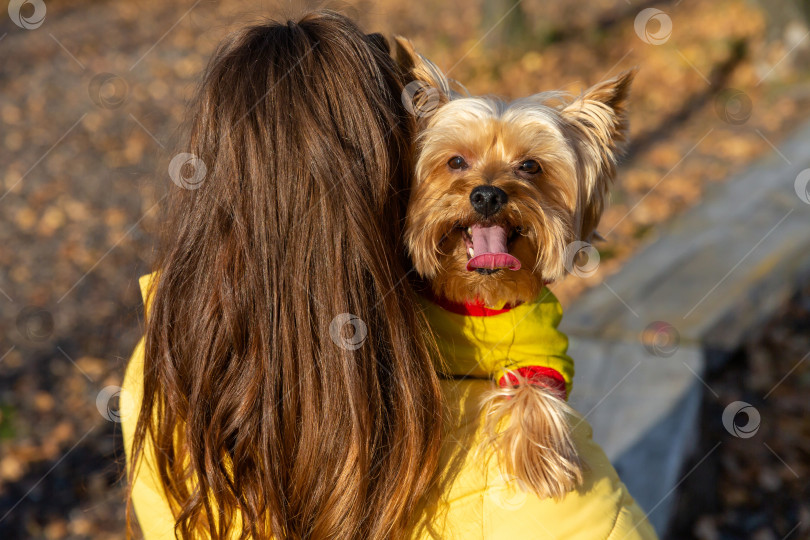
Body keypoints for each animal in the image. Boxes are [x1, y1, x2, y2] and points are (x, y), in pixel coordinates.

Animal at [394, 38, 636, 500]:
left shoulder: (545, 351)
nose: (488, 195)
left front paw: (541, 464)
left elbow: (534, 388)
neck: (481, 297)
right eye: (456, 162)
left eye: (530, 166)